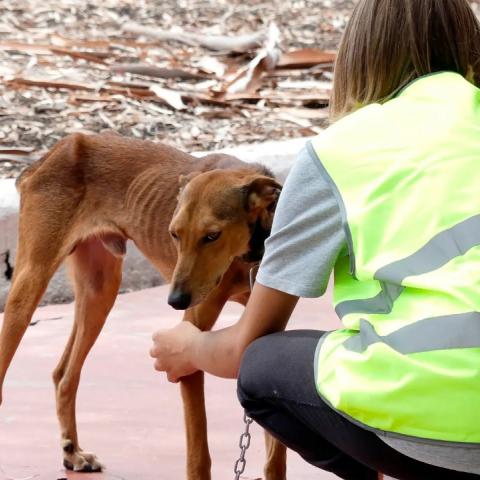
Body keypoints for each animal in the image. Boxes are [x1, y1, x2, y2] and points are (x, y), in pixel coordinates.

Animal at [0, 133, 284, 480]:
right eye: (174, 234)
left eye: (212, 235)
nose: (175, 301)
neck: (250, 254)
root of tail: (53, 153)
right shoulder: (187, 342)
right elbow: (198, 457)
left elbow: (275, 456)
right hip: (29, 285)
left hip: (100, 292)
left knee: (64, 374)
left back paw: (73, 453)